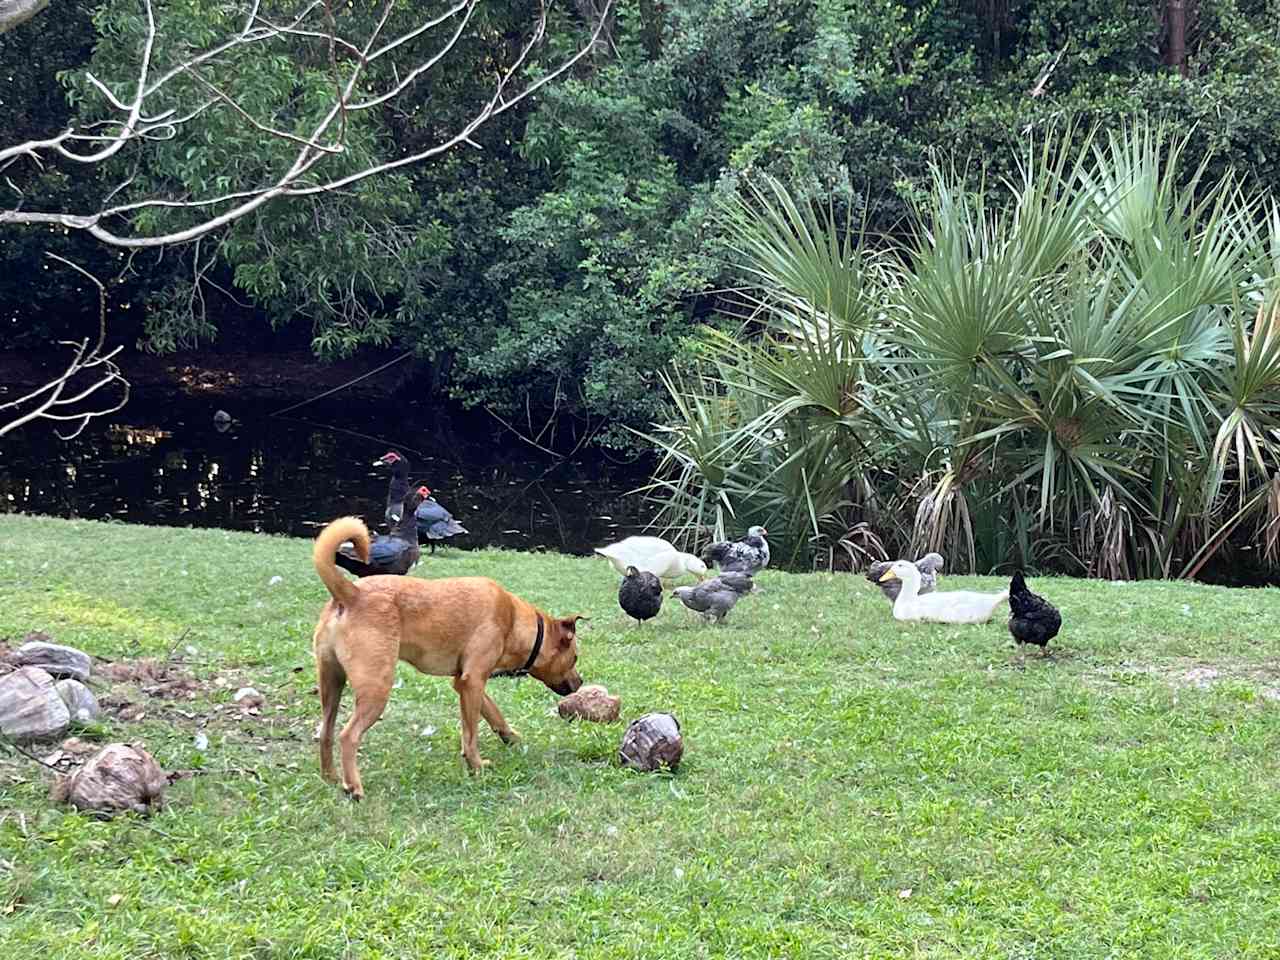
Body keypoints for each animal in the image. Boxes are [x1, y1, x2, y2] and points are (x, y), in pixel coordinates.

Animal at [312, 519, 583, 798]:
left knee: (326, 733)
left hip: (331, 684)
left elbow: (493, 713)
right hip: (376, 689)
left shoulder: (465, 682)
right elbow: (471, 733)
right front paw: (476, 765)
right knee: (348, 736)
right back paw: (353, 786)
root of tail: (350, 593)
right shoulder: (473, 681)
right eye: (574, 659)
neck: (513, 620)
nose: (581, 683)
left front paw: (510, 737)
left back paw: (330, 777)